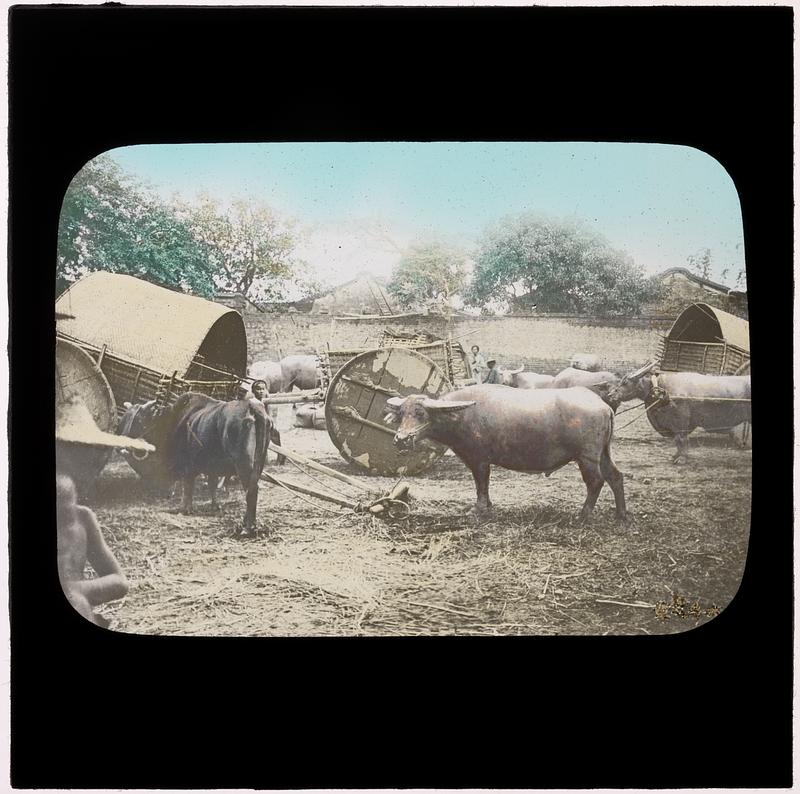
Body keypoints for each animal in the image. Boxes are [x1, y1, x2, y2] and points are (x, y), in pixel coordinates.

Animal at [117, 392, 280, 536]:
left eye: (140, 418)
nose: (122, 443)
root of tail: (252, 406)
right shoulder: (211, 468)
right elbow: (211, 484)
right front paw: (214, 505)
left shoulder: (188, 467)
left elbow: (187, 487)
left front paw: (185, 508)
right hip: (258, 463)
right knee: (251, 488)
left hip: (243, 463)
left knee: (251, 490)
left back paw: (247, 528)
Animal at [384, 382, 628, 524]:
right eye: (402, 413)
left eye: (420, 413)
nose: (401, 439)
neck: (462, 415)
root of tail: (604, 406)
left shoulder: (479, 459)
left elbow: (481, 483)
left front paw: (479, 509)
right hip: (603, 454)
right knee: (615, 477)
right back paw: (621, 515)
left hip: (587, 457)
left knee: (596, 481)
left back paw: (583, 515)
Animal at [608, 360, 752, 460]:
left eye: (625, 382)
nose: (610, 395)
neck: (663, 388)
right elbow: (677, 439)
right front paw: (676, 455)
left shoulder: (681, 420)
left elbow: (681, 438)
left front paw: (681, 458)